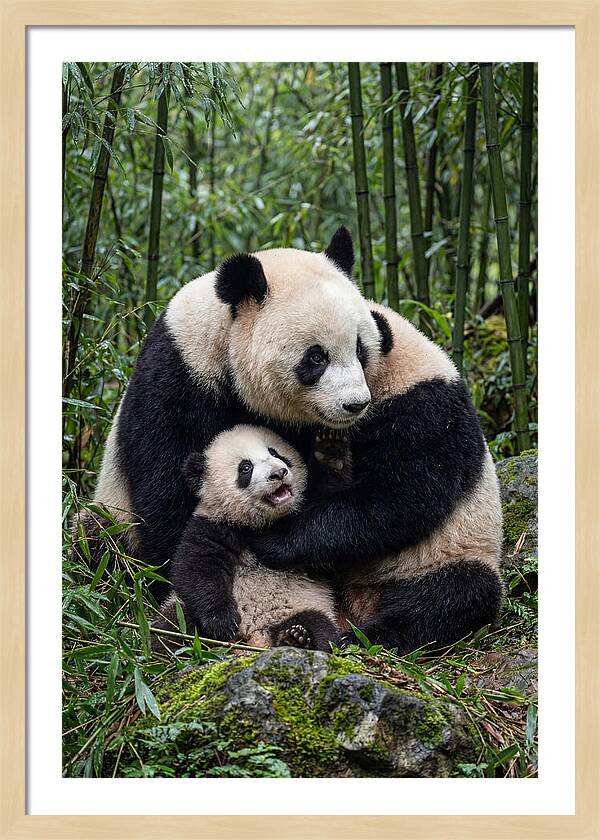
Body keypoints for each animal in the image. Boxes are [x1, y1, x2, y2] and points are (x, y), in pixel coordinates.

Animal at [77, 228, 383, 605]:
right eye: (316, 357)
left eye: (359, 348)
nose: (355, 404)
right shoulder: (179, 379)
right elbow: (168, 490)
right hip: (110, 509)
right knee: (96, 541)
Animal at [152, 424, 339, 652]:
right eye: (245, 468)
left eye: (275, 453)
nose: (279, 473)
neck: (257, 522)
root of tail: (256, 634)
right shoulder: (212, 526)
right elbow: (197, 569)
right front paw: (222, 623)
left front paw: (330, 453)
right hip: (179, 608)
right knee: (171, 625)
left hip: (303, 605)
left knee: (320, 626)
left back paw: (298, 638)